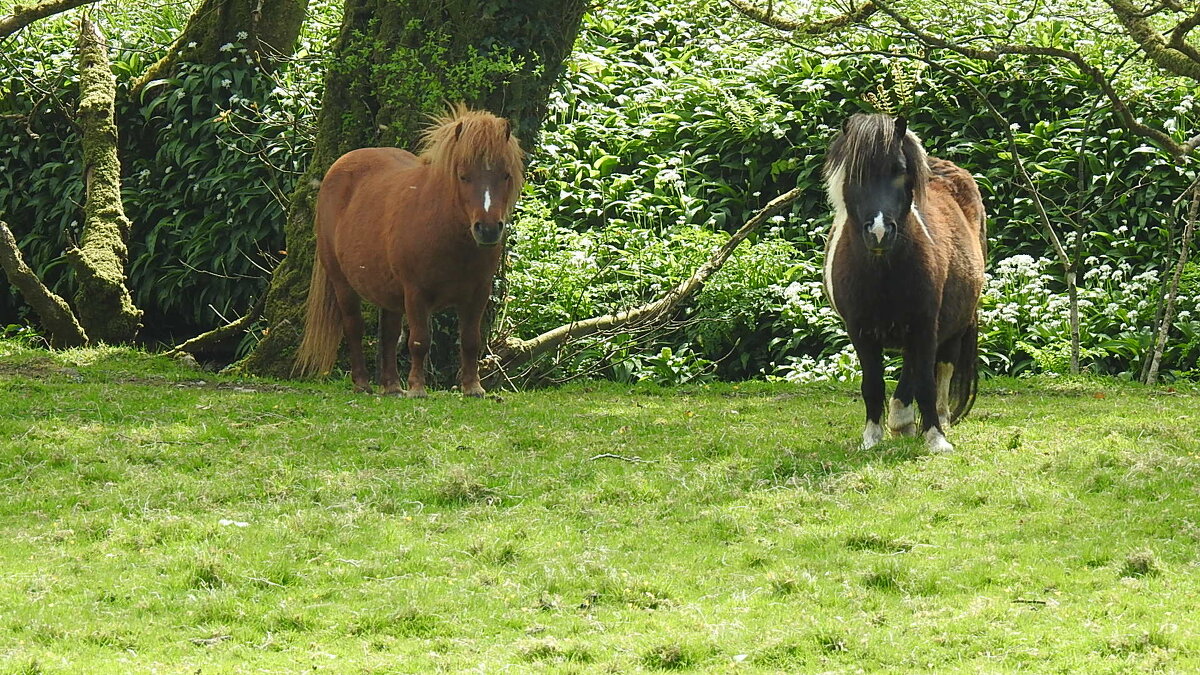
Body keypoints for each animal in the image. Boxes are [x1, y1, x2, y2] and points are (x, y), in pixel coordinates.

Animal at [292, 103, 523, 396]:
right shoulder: (416, 293)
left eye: (505, 175)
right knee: (354, 328)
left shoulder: (478, 293)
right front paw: (417, 388)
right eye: (463, 176)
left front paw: (473, 388)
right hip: (342, 283)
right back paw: (362, 383)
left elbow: (471, 340)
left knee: (389, 335)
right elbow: (419, 341)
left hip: (388, 290)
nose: (489, 229)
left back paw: (391, 386)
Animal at [825, 114, 984, 451]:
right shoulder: (860, 331)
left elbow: (925, 381)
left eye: (899, 170)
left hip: (953, 327)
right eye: (854, 174)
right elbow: (872, 384)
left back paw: (933, 419)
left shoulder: (924, 324)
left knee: (942, 368)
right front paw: (871, 438)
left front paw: (936, 439)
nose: (879, 232)